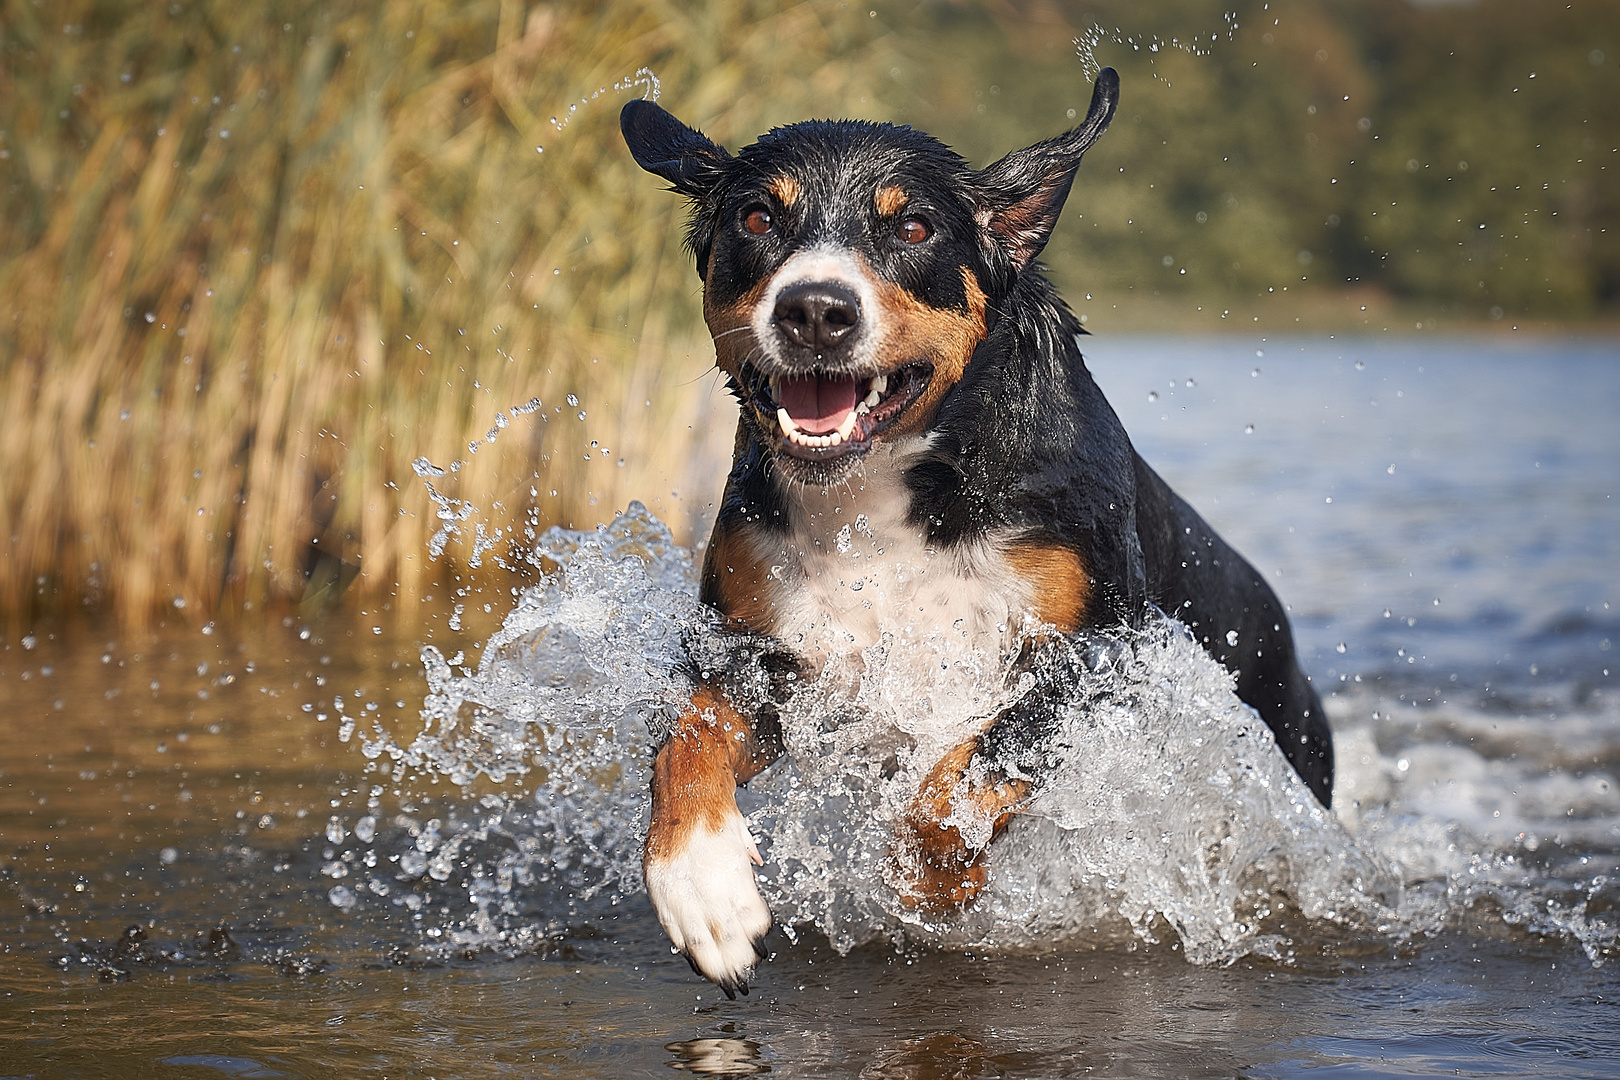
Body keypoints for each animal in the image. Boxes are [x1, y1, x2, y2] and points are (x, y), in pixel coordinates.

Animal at [615, 67, 1328, 997]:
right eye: (758, 219)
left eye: (913, 226)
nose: (815, 310)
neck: (892, 488)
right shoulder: (761, 652)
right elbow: (687, 736)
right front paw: (700, 885)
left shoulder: (1095, 653)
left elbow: (967, 776)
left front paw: (930, 880)